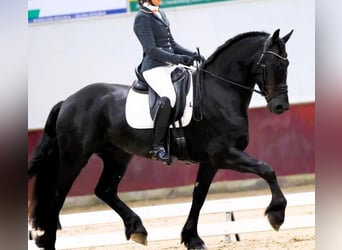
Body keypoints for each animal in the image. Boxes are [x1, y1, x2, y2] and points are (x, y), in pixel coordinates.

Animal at [28, 29, 292, 250]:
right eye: (271, 64)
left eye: (286, 63)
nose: (281, 106)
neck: (219, 93)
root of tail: (68, 101)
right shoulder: (225, 154)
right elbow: (267, 169)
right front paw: (276, 214)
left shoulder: (211, 161)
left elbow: (199, 196)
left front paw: (192, 239)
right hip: (75, 157)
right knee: (56, 197)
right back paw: (49, 241)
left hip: (117, 155)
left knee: (104, 190)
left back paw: (137, 229)